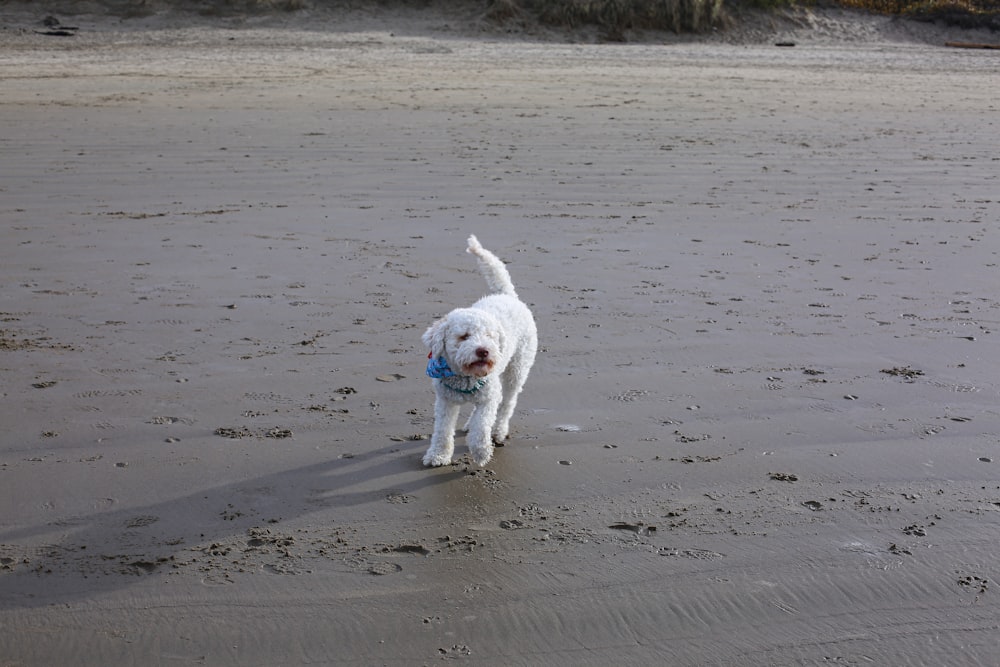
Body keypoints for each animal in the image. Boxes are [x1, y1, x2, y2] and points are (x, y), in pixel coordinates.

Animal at [420, 235, 536, 470]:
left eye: (490, 336)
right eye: (464, 336)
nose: (484, 351)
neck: (466, 377)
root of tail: (507, 295)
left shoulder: (489, 398)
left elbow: (481, 427)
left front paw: (481, 452)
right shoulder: (445, 401)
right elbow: (442, 431)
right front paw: (438, 455)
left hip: (517, 369)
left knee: (507, 404)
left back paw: (499, 431)